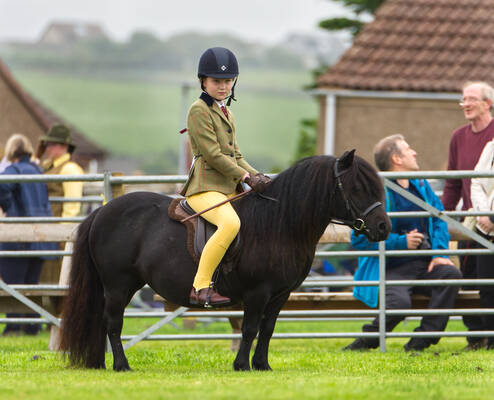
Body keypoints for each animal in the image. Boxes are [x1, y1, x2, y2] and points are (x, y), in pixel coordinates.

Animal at [58, 151, 390, 372]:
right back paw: (121, 365)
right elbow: (250, 328)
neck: (279, 224)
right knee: (112, 323)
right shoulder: (258, 292)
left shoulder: (280, 294)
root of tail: (102, 211)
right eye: (357, 188)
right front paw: (242, 365)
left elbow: (268, 329)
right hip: (118, 284)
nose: (384, 227)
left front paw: (262, 365)